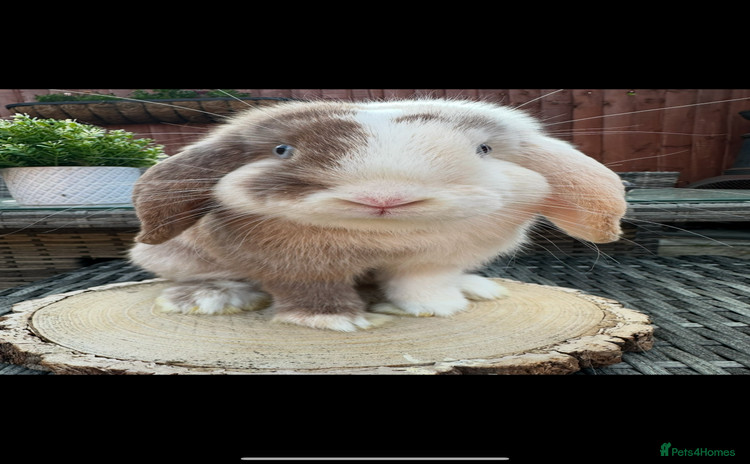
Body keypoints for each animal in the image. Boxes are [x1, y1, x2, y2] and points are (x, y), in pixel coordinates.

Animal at [129, 97, 627, 331]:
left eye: (484, 149)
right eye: (282, 150)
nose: (384, 197)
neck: (379, 240)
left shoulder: (431, 261)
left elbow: (421, 283)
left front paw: (437, 308)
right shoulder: (296, 267)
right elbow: (309, 289)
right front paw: (336, 321)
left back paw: (475, 288)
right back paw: (208, 297)